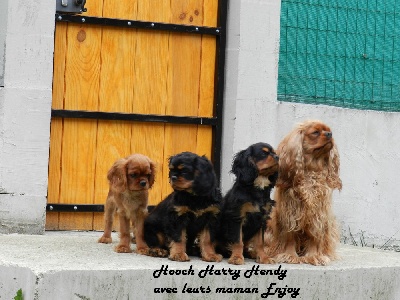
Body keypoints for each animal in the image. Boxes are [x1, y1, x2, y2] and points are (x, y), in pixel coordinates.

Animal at [264, 119, 342, 264]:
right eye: (315, 132)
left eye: (329, 130)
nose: (330, 134)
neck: (311, 172)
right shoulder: (290, 213)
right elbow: (290, 236)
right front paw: (290, 255)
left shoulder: (318, 216)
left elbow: (314, 237)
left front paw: (314, 256)